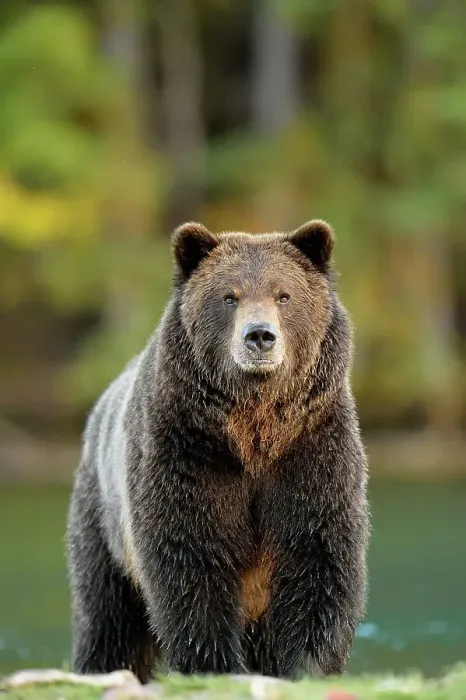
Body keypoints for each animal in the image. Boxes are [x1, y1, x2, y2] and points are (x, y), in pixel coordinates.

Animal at [66, 219, 369, 683]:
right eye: (230, 296)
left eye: (284, 294)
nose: (259, 335)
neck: (254, 432)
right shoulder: (187, 455)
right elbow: (192, 563)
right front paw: (215, 666)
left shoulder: (313, 452)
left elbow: (319, 559)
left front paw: (307, 666)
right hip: (103, 521)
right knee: (109, 619)